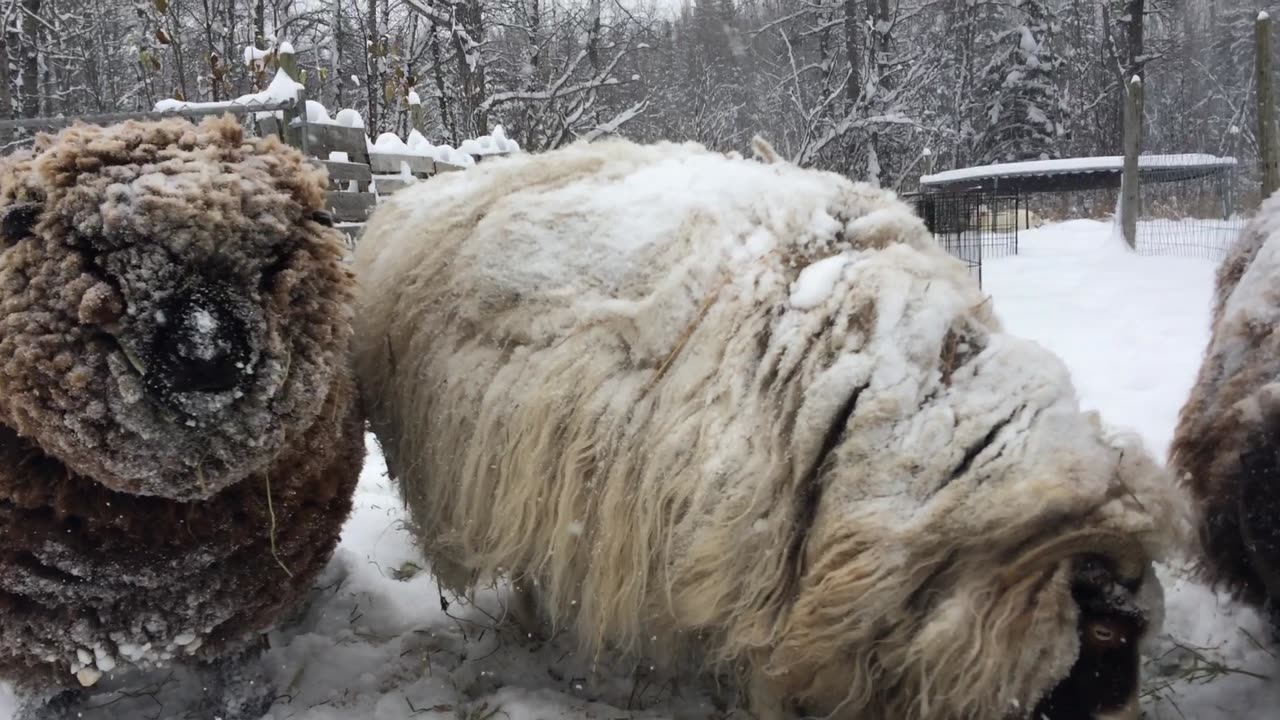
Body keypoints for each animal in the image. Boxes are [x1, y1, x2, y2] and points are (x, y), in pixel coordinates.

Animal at [0, 114, 366, 712]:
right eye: (92, 252)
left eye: (273, 260)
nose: (207, 353)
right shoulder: (33, 632)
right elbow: (46, 688)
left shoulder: (244, 602)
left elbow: (237, 674)